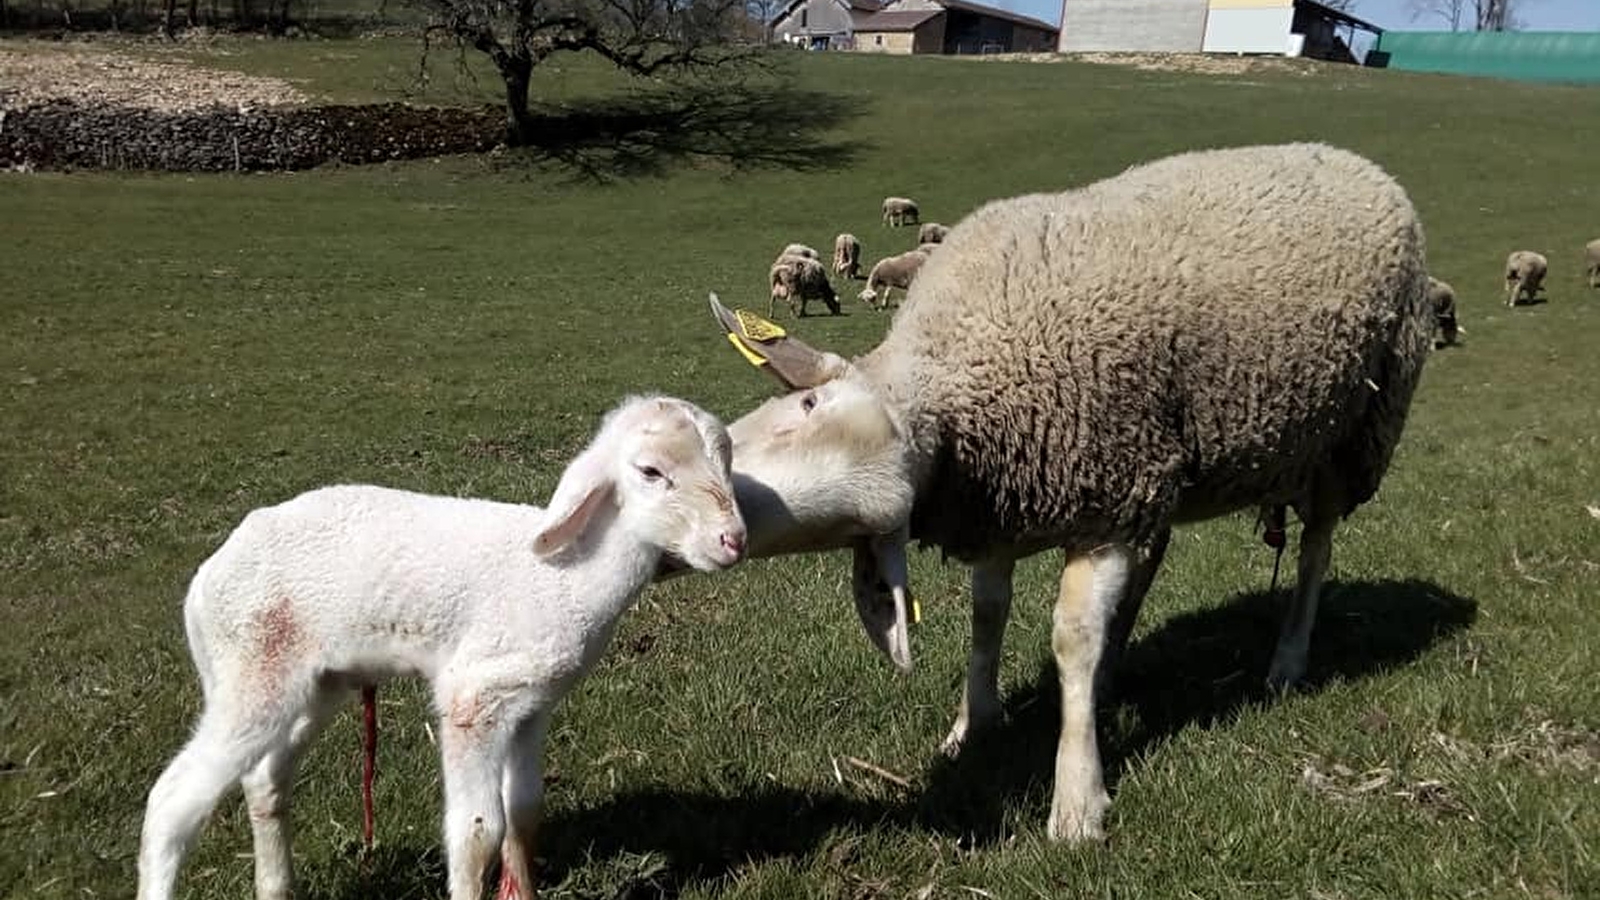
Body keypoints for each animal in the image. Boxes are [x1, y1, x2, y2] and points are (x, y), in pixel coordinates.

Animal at [134, 395, 745, 896]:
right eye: (650, 471)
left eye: (727, 461)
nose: (733, 540)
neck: (566, 576)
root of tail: (208, 576)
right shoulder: (474, 696)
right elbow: (478, 831)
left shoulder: (532, 704)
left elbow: (524, 812)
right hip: (251, 666)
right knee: (171, 803)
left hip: (315, 683)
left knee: (264, 781)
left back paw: (275, 886)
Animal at [707, 141, 1433, 839]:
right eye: (803, 405)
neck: (958, 375)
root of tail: (1363, 165)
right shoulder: (1003, 505)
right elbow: (988, 615)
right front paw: (973, 725)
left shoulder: (1107, 499)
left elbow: (1073, 637)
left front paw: (1078, 799)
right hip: (1171, 469)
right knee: (1157, 555)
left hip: (1351, 437)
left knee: (1315, 551)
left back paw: (1287, 659)